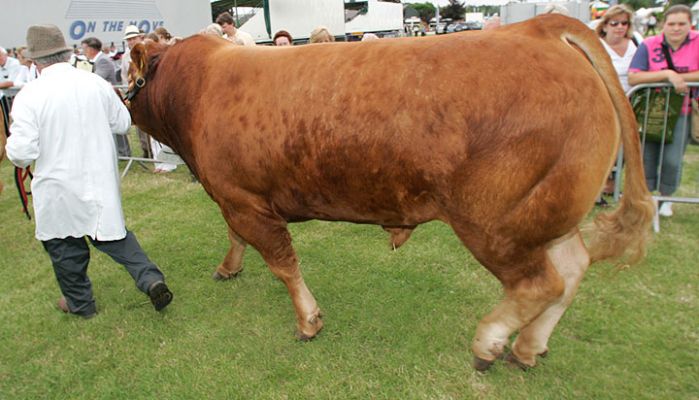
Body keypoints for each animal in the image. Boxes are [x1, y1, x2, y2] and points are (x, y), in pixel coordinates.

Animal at [125, 14, 654, 370]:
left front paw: (308, 321)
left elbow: (282, 263)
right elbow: (236, 238)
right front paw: (229, 268)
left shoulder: (244, 200)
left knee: (540, 283)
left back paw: (488, 344)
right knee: (572, 269)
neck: (197, 89)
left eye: (130, 78)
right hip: (548, 211)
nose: (118, 93)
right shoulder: (233, 198)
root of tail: (536, 27)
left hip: (495, 222)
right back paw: (527, 348)